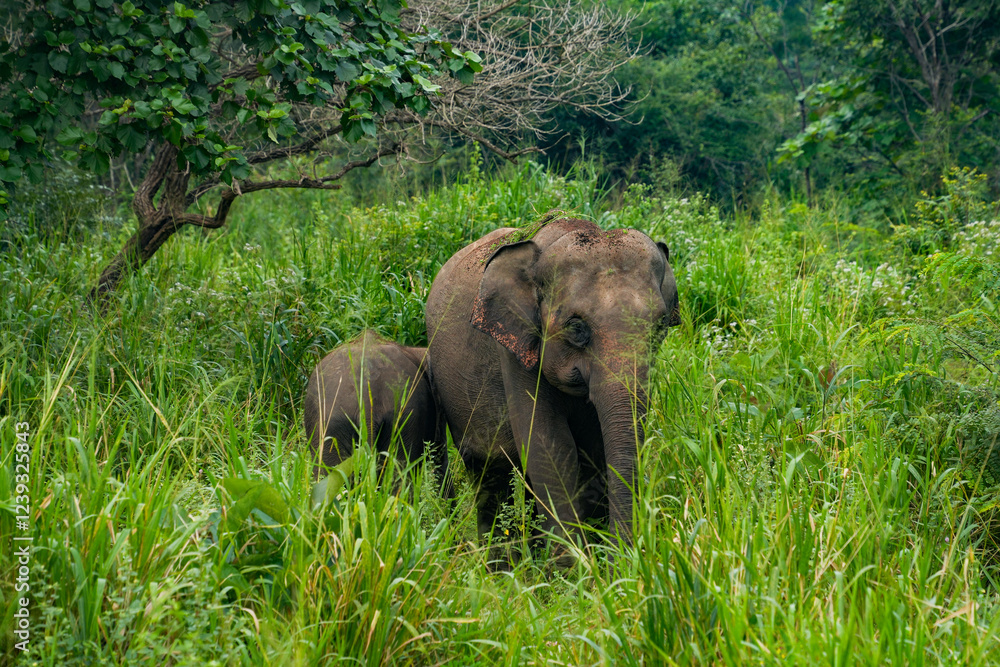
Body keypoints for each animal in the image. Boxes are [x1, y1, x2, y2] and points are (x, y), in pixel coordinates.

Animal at [426, 216, 680, 559]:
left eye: (660, 326)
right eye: (576, 328)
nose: (620, 554)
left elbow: (593, 451)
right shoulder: (515, 346)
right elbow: (549, 446)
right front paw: (578, 568)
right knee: (490, 472)